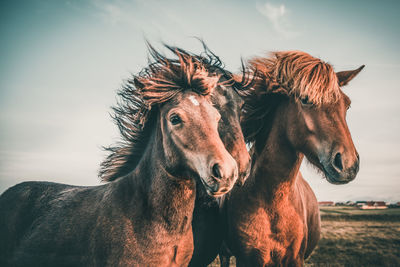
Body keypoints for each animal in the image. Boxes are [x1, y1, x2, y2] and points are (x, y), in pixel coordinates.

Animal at [220, 51, 364, 266]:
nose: (348, 164)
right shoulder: (247, 259)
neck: (273, 205)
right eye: (305, 99)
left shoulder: (295, 259)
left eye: (347, 105)